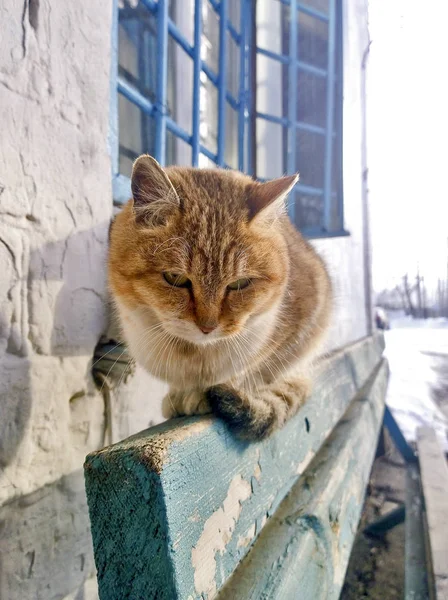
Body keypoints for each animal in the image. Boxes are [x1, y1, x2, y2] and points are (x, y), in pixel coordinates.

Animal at [108, 156, 332, 440]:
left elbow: (249, 372)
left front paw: (200, 395)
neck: (194, 352)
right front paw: (179, 394)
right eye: (175, 278)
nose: (208, 327)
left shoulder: (301, 328)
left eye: (239, 284)